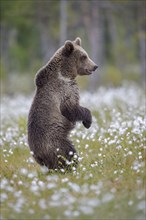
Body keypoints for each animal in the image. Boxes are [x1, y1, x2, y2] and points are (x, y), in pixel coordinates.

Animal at [27, 37, 98, 171]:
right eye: (84, 56)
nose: (95, 66)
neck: (65, 73)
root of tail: (38, 155)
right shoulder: (64, 91)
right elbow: (71, 108)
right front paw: (88, 121)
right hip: (55, 141)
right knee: (69, 152)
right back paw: (72, 166)